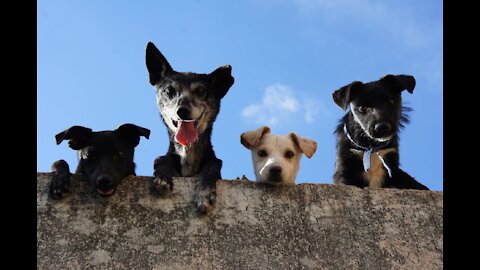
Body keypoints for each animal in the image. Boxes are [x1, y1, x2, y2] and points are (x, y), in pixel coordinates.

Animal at [144, 41, 234, 213]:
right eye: (169, 91)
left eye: (200, 91)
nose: (182, 111)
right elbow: (160, 159)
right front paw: (163, 177)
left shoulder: (214, 164)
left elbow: (213, 165)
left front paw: (204, 193)